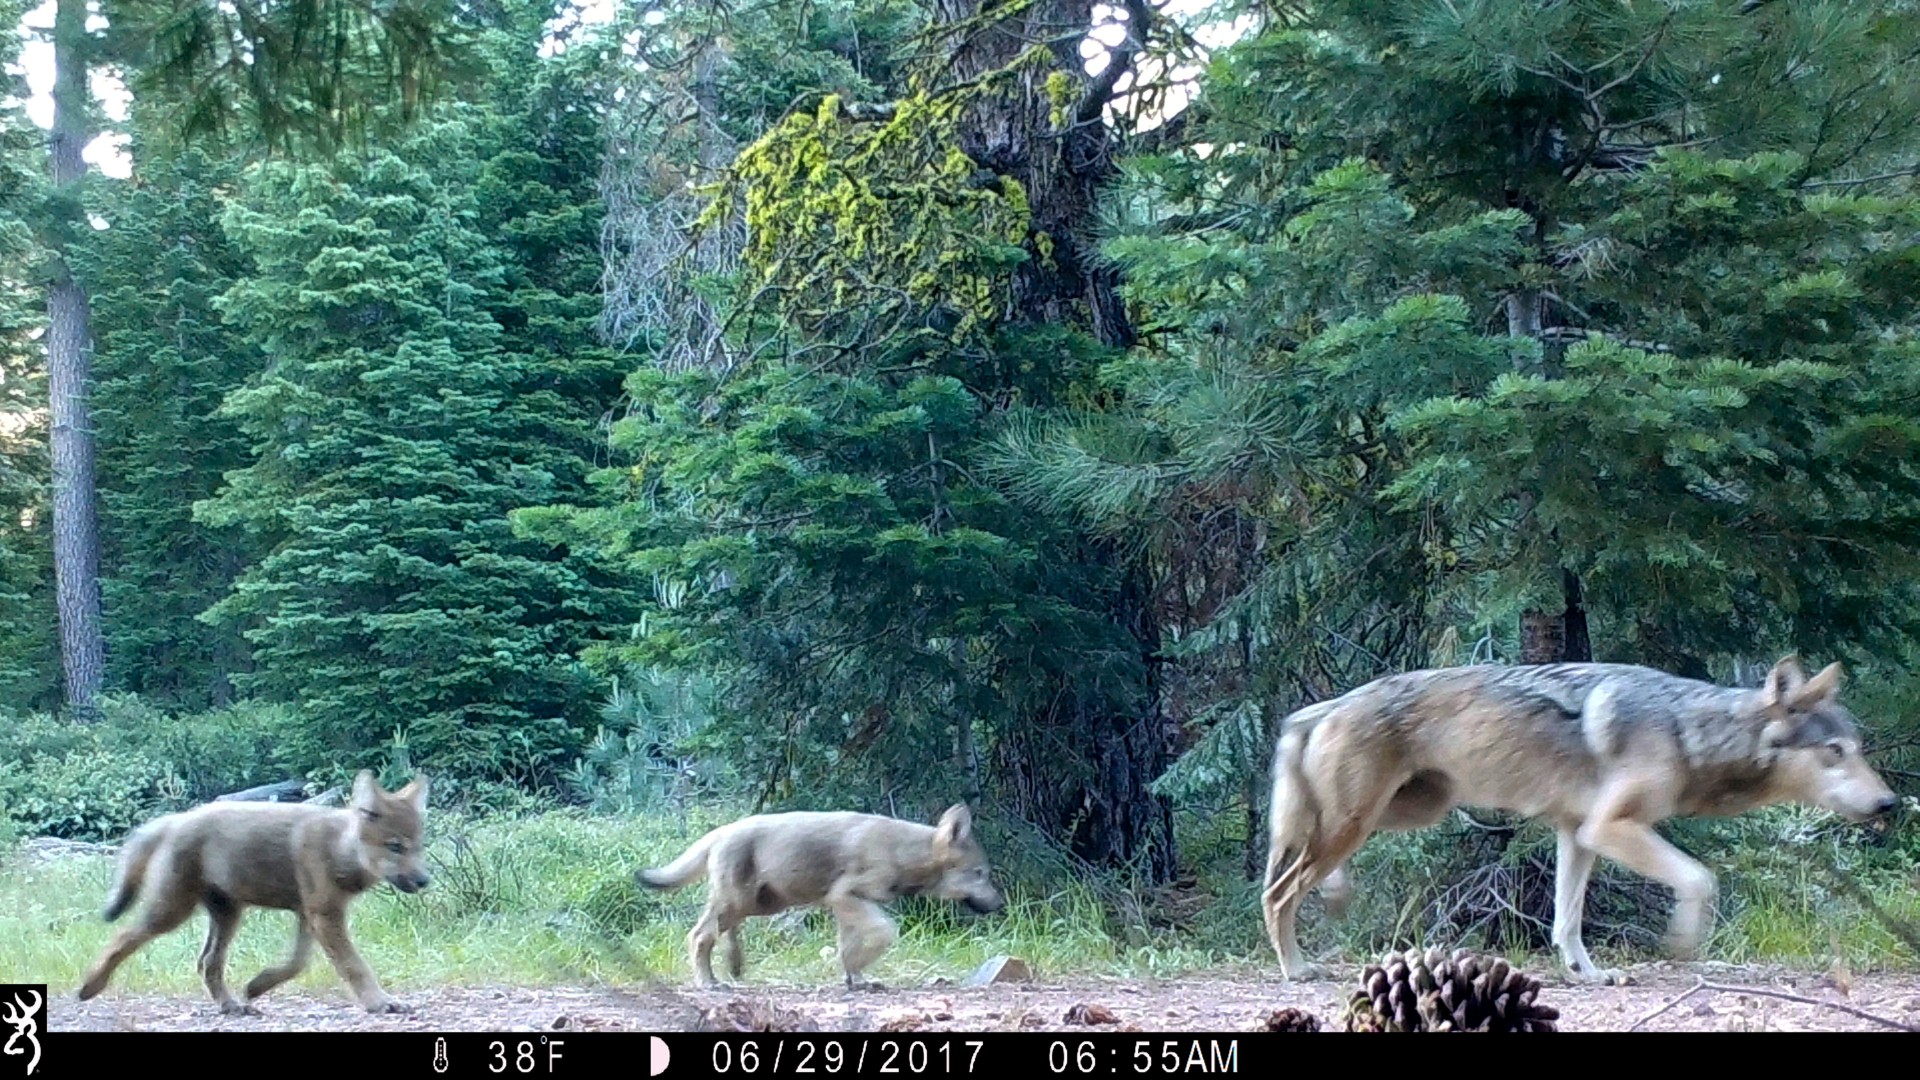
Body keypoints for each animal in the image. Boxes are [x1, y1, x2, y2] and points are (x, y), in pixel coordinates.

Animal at [75, 768, 432, 1014]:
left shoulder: (309, 915)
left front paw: (258, 986)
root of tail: (175, 819)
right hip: (171, 912)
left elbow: (296, 963)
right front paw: (381, 1002)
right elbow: (354, 966)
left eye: (418, 847)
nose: (425, 880)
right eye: (396, 847)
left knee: (207, 962)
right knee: (122, 937)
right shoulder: (324, 915)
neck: (338, 848)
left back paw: (232, 1006)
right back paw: (89, 987)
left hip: (228, 915)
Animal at [641, 799, 1006, 983]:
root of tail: (720, 831)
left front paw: (856, 979)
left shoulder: (845, 906)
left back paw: (735, 968)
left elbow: (848, 948)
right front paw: (856, 973)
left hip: (758, 905)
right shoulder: (845, 897)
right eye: (981, 874)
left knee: (724, 933)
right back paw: (709, 982)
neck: (902, 852)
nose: (1001, 905)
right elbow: (884, 931)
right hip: (739, 903)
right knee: (699, 936)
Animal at [1259, 653, 1904, 980]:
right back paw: (1296, 968)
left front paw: (1586, 974)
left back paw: (1334, 899)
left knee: (1304, 873)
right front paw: (1682, 943)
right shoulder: (1610, 828)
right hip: (1357, 824)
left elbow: (1565, 921)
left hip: (1406, 813)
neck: (1688, 733)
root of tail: (1321, 707)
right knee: (1278, 892)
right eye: (1834, 752)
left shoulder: (1578, 833)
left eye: (1860, 748)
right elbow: (1701, 878)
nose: (1890, 804)